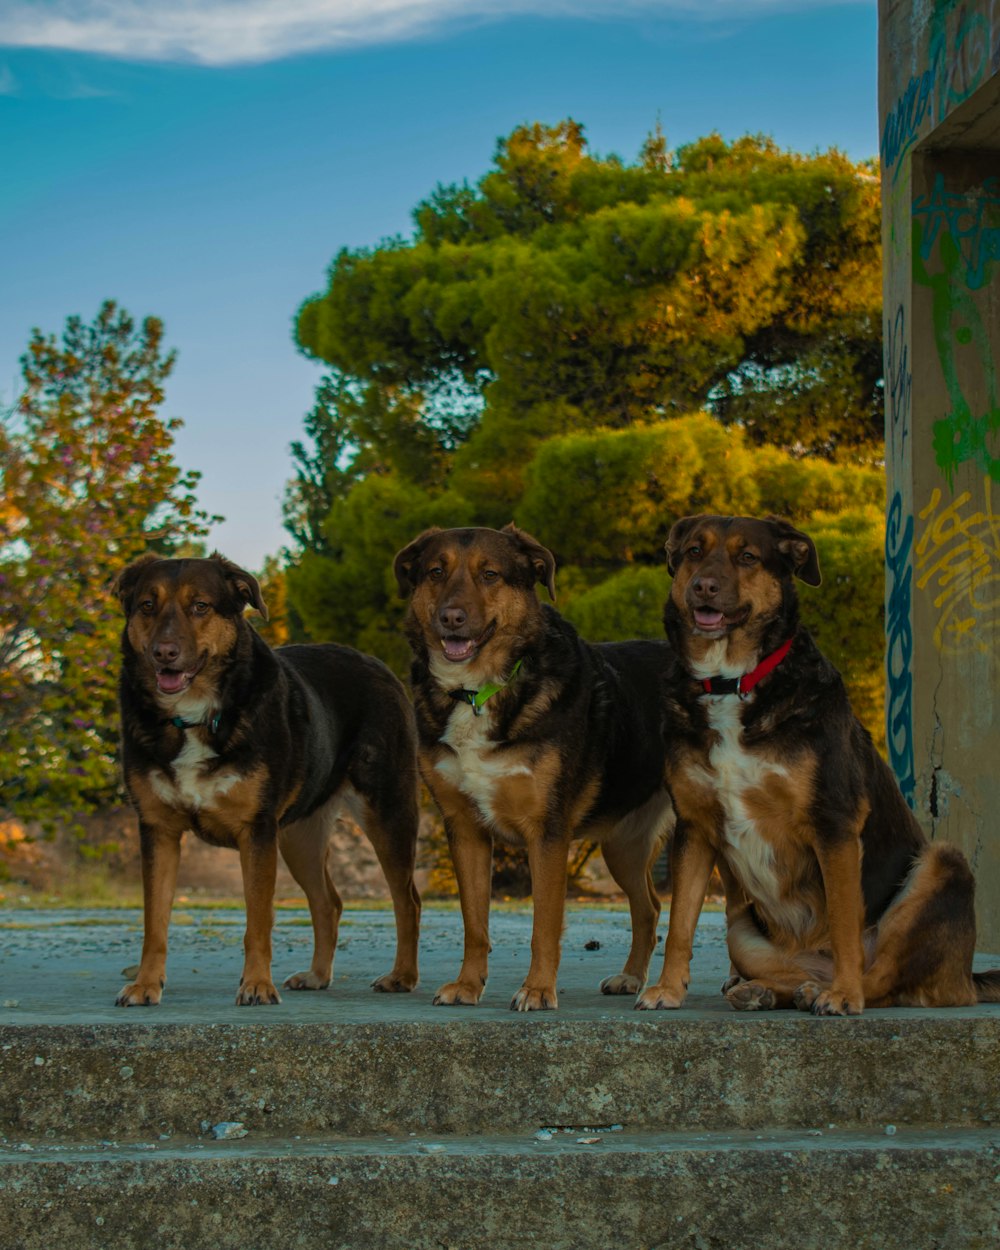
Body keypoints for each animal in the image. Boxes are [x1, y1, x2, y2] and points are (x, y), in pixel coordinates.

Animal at [111, 552, 420, 1010]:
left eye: (200, 606)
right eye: (148, 605)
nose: (163, 652)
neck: (195, 716)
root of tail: (377, 665)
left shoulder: (255, 831)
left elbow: (258, 918)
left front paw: (257, 985)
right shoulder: (158, 830)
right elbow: (155, 921)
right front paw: (146, 985)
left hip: (388, 814)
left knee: (408, 901)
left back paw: (402, 976)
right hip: (298, 836)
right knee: (328, 903)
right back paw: (317, 976)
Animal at [395, 522, 675, 1010]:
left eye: (490, 574)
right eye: (435, 572)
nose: (451, 617)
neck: (478, 692)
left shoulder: (547, 833)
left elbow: (543, 925)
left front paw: (539, 989)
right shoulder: (464, 829)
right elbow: (474, 923)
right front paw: (468, 985)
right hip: (623, 847)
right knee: (650, 907)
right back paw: (630, 978)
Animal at [640, 517, 1000, 1015]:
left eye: (748, 557)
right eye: (695, 551)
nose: (703, 586)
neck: (734, 681)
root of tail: (967, 977)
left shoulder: (834, 823)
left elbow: (845, 923)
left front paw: (845, 996)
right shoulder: (694, 827)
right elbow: (679, 924)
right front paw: (668, 989)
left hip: (943, 864)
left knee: (884, 978)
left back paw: (835, 990)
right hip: (741, 929)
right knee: (792, 974)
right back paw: (764, 990)